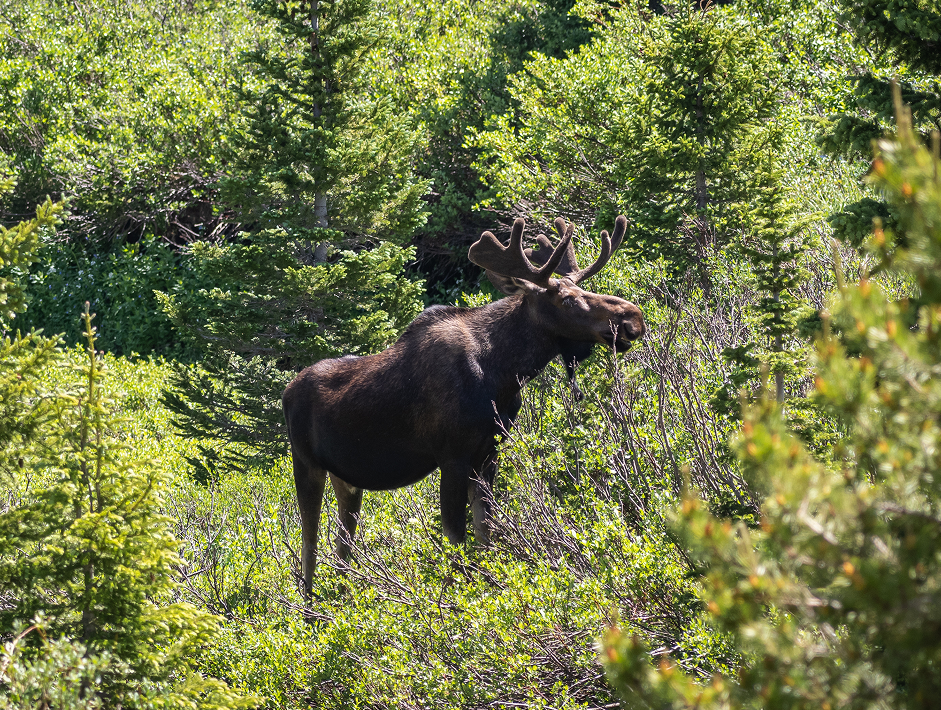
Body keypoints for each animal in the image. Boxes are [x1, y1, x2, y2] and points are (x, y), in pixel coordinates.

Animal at [282, 215, 645, 597]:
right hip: (305, 464)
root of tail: (286, 393)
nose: (632, 318)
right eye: (568, 300)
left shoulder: (489, 452)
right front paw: (459, 598)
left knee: (343, 546)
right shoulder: (452, 455)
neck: (505, 373)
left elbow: (487, 532)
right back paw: (309, 608)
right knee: (309, 544)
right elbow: (456, 539)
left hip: (347, 478)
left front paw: (491, 588)